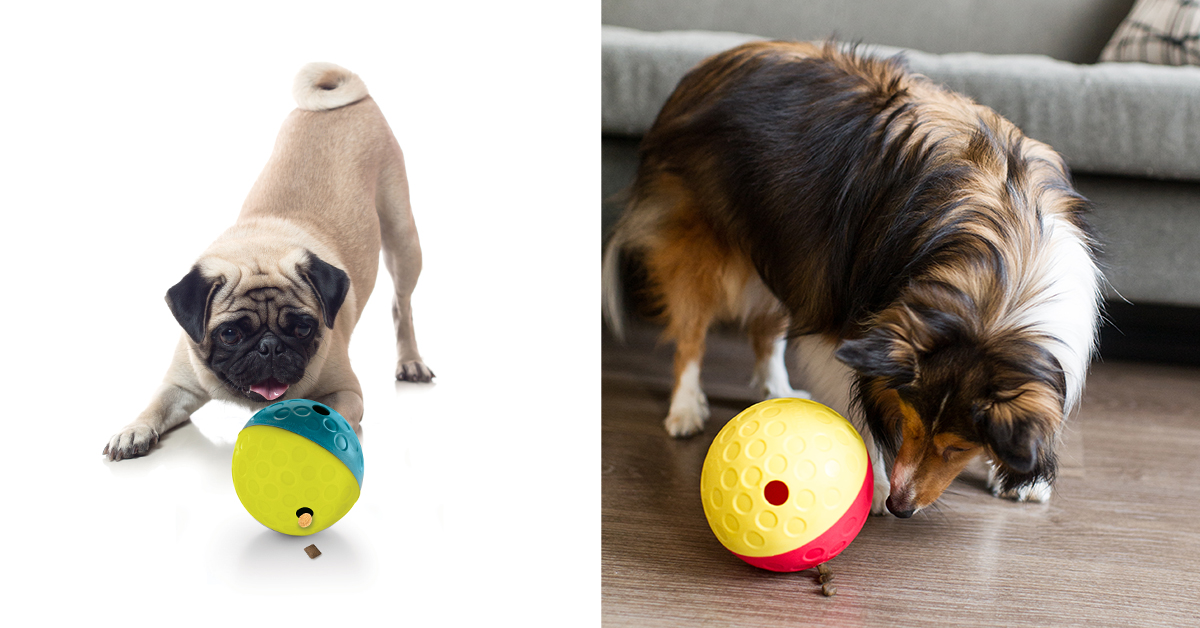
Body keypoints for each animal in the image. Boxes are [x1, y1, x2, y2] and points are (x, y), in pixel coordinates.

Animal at [604, 41, 1099, 518]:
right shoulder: (850, 323)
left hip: (790, 251)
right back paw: (686, 409)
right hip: (709, 253)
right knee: (691, 334)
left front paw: (1016, 477)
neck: (1002, 275)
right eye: (912, 421)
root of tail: (712, 62)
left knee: (765, 329)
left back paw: (778, 389)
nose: (902, 508)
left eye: (959, 447)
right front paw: (876, 484)